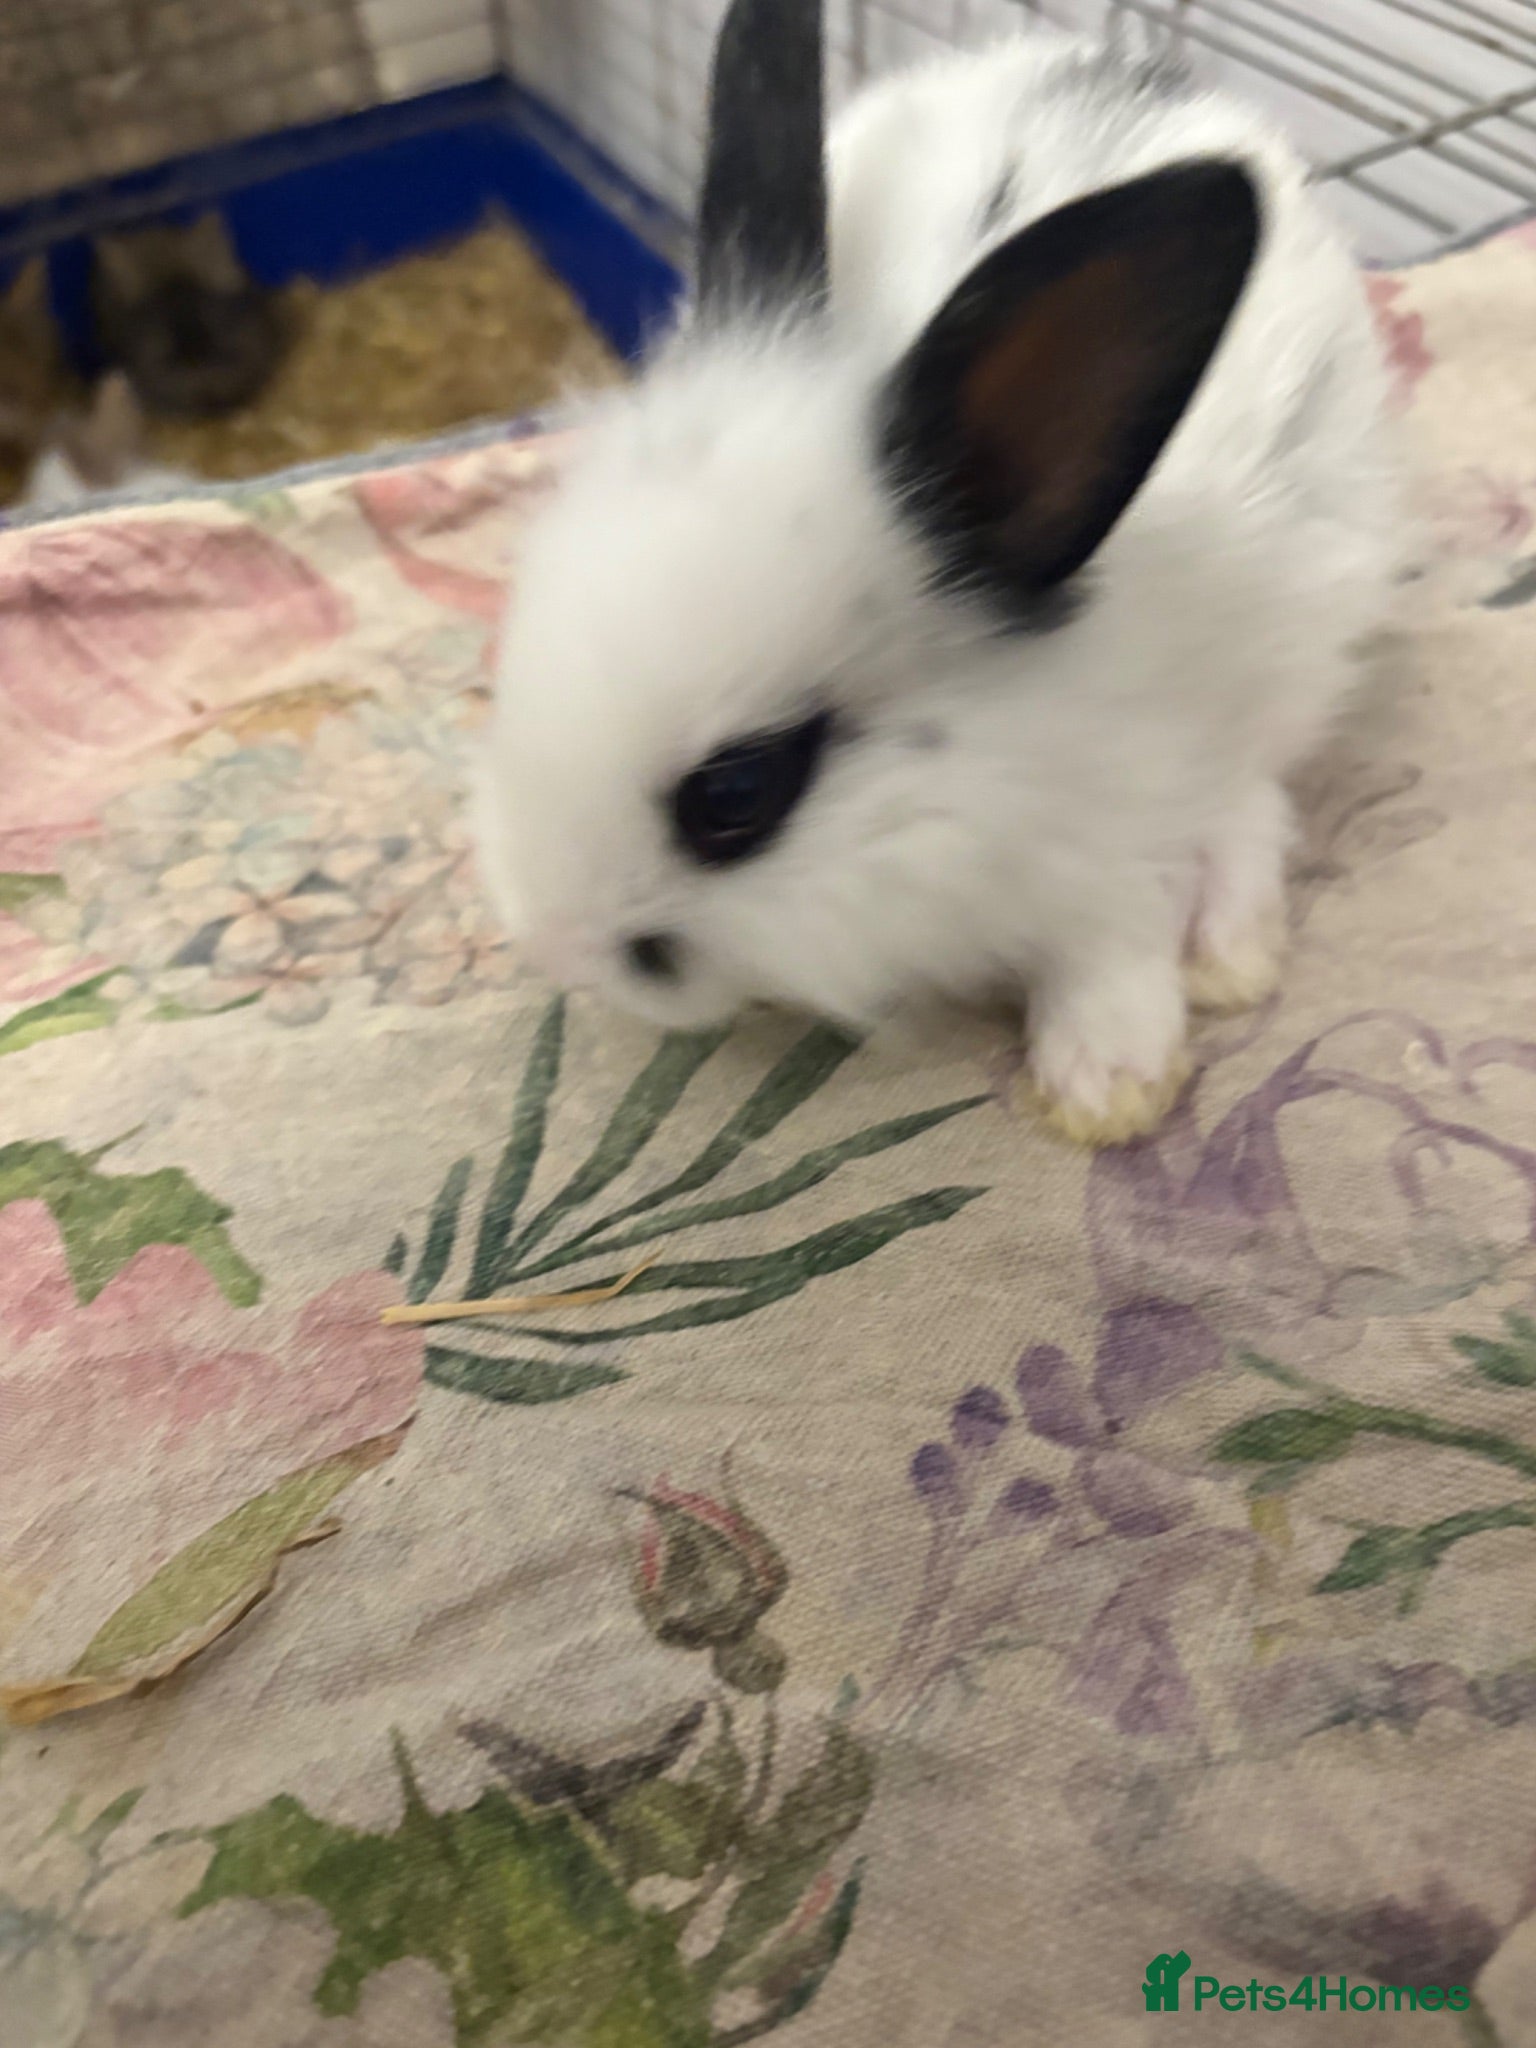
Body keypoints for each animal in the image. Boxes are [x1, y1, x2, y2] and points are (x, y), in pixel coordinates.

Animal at [476, 1, 1400, 1147]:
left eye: (735, 794)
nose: (550, 943)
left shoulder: (1123, 830)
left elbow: (1116, 941)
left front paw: (1106, 1085)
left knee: (1259, 793)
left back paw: (1228, 945)